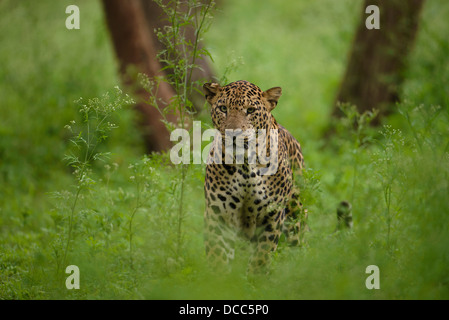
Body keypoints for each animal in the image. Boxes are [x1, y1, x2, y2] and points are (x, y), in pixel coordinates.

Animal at [203, 79, 308, 272]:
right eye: (223, 108)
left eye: (250, 110)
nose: (233, 134)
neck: (245, 165)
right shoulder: (218, 214)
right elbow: (217, 256)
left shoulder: (272, 216)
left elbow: (261, 258)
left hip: (295, 214)